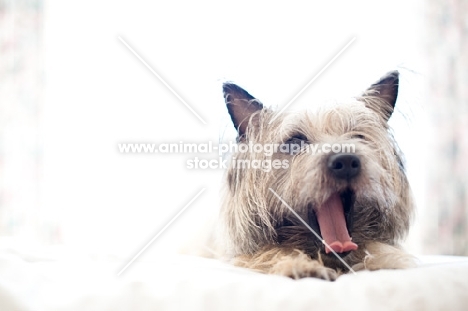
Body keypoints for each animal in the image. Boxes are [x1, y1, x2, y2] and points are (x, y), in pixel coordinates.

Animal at [218, 72, 416, 282]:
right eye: (295, 142)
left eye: (359, 136)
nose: (346, 161)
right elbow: (270, 252)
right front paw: (299, 264)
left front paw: (383, 259)